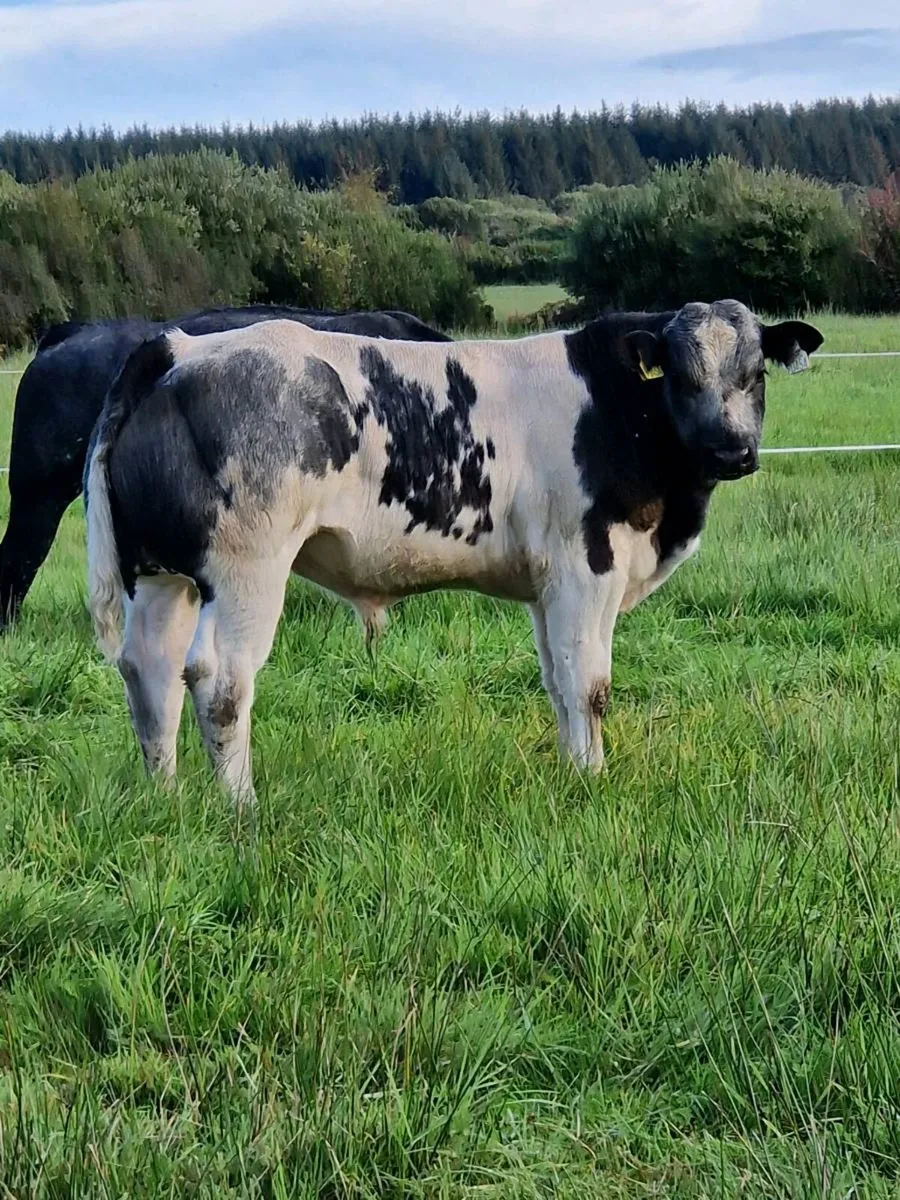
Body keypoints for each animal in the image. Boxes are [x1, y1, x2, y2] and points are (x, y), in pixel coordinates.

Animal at [85, 300, 822, 804]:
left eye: (755, 373)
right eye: (681, 376)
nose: (732, 450)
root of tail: (176, 348)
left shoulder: (546, 584)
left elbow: (558, 682)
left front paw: (571, 771)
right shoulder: (586, 566)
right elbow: (591, 685)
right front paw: (594, 777)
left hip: (160, 575)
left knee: (148, 670)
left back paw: (166, 795)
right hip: (247, 569)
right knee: (220, 682)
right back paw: (242, 808)